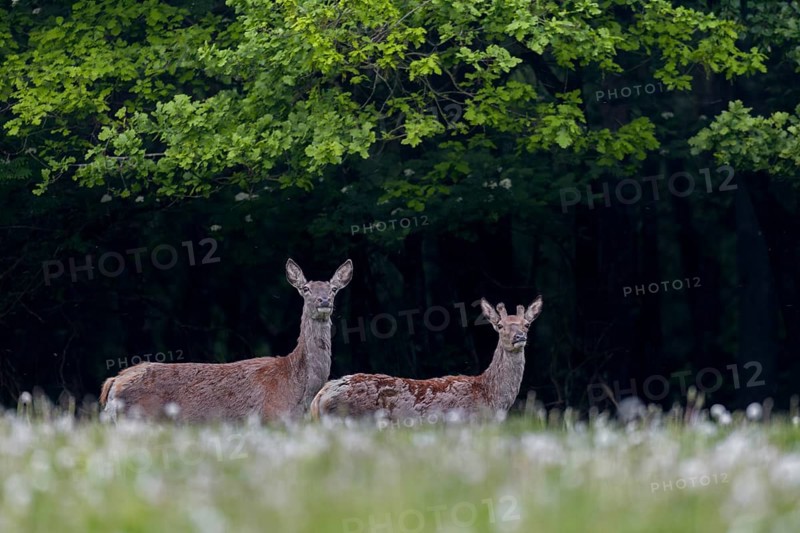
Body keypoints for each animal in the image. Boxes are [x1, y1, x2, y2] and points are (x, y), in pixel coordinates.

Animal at [99, 258, 353, 423]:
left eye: (333, 289)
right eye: (306, 288)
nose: (323, 301)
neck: (299, 388)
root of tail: (113, 382)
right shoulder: (271, 418)